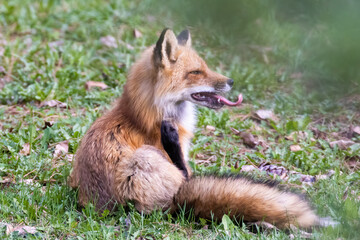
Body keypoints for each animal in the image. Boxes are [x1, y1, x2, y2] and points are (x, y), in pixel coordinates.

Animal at [69, 28, 320, 229]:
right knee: (183, 178)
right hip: (145, 159)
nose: (231, 82)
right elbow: (187, 169)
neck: (145, 114)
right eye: (196, 72)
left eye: (205, 67)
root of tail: (104, 207)